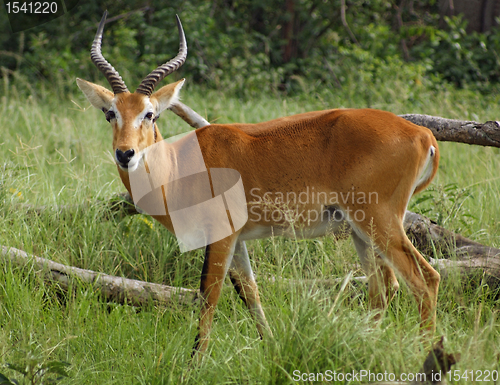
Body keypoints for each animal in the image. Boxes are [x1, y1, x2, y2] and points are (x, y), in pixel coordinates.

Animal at [76, 12, 440, 356]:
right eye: (110, 113)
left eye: (150, 114)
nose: (125, 153)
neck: (179, 167)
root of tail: (423, 134)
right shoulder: (238, 240)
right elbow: (250, 293)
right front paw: (271, 347)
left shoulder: (220, 236)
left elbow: (209, 296)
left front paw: (194, 365)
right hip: (359, 230)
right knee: (383, 286)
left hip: (379, 220)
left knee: (425, 279)